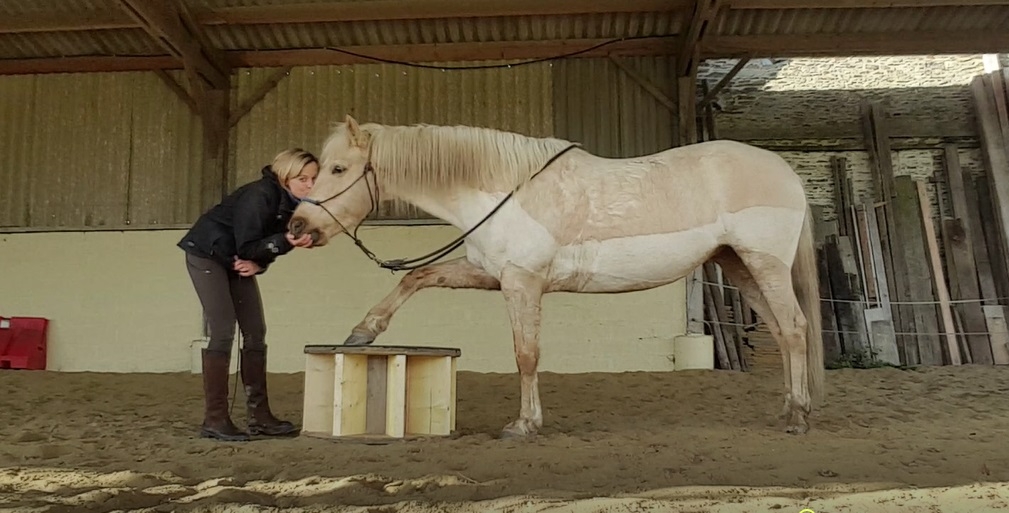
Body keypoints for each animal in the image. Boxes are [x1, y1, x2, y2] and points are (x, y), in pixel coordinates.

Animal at [288, 115, 825, 438]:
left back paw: (800, 416)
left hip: (764, 262)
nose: (297, 226)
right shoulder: (489, 274)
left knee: (794, 328)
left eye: (338, 169)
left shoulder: (521, 282)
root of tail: (784, 170)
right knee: (782, 332)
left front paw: (525, 424)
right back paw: (787, 408)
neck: (501, 189)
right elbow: (414, 278)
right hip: (738, 264)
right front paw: (363, 332)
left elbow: (526, 354)